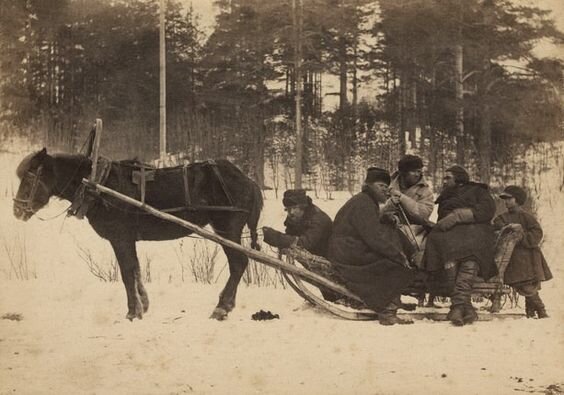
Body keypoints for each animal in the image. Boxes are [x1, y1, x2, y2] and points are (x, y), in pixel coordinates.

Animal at [13, 148, 264, 322]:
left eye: (30, 177)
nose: (17, 210)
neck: (98, 185)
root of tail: (250, 181)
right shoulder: (128, 239)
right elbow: (135, 270)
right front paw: (143, 305)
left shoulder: (120, 238)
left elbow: (126, 273)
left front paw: (133, 312)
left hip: (227, 228)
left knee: (238, 263)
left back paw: (221, 307)